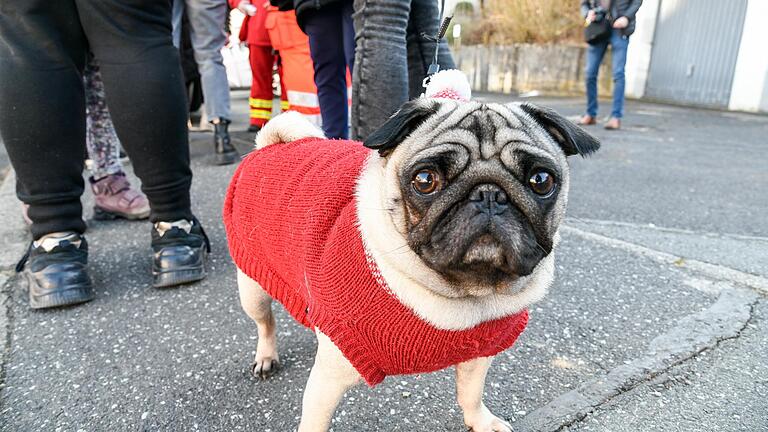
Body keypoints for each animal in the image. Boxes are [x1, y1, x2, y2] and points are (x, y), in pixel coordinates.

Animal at [224, 76, 600, 430]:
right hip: (251, 287)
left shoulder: (480, 352)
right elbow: (314, 422)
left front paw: (480, 420)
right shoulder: (328, 378)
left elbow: (471, 393)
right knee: (266, 322)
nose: (489, 195)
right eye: (425, 180)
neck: (463, 298)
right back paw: (266, 356)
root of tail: (272, 145)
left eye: (541, 180)